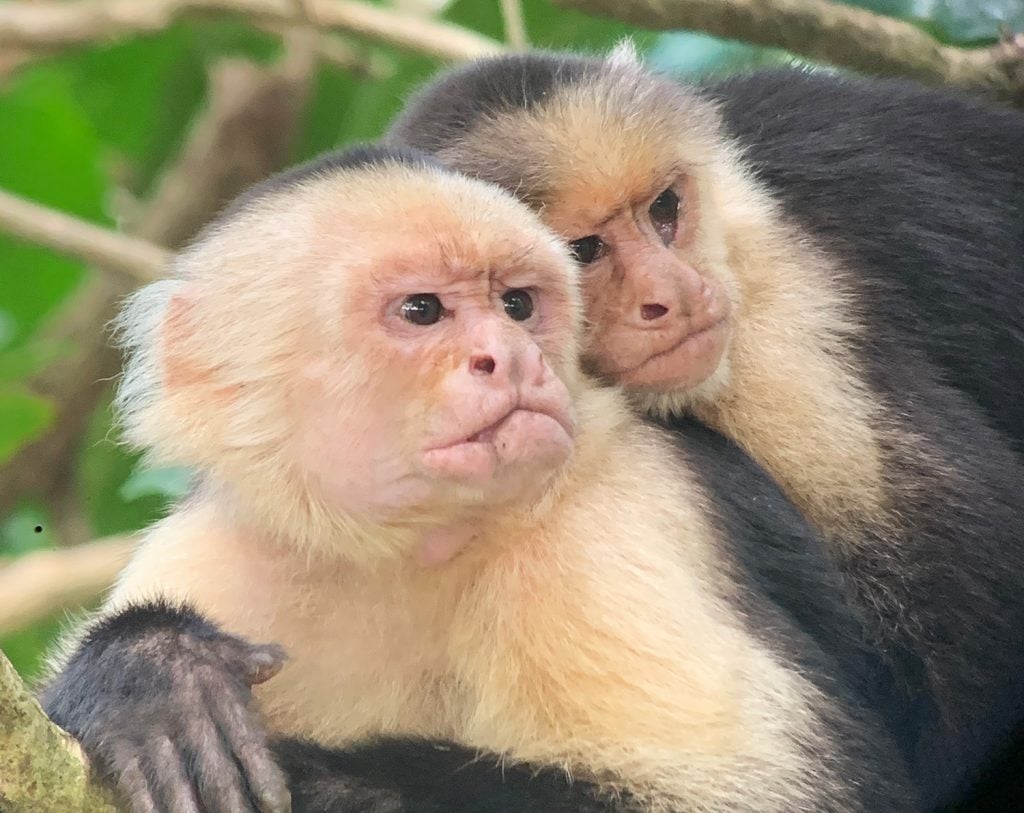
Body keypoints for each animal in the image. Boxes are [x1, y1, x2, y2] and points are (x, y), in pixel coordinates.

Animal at [39, 144, 918, 813]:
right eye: (423, 310)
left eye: (519, 305)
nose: (512, 357)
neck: (406, 549)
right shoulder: (213, 555)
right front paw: (151, 677)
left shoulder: (609, 519)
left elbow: (784, 798)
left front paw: (313, 775)